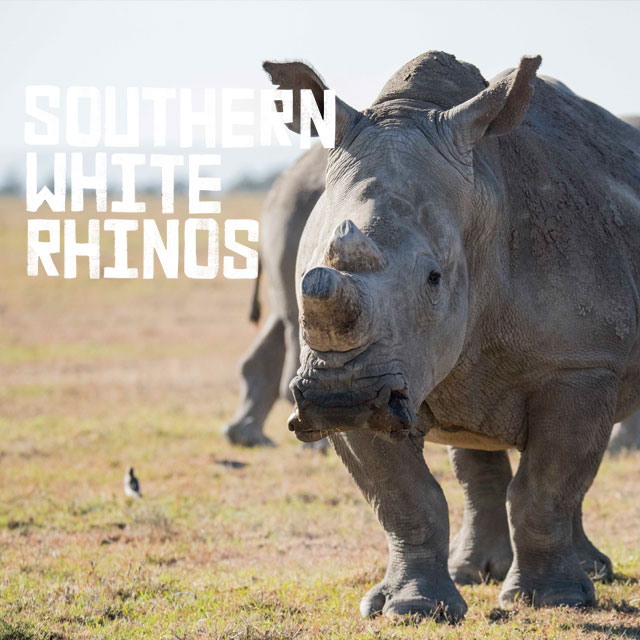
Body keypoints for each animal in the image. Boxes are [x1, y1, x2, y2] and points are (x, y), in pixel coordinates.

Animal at [251, 51, 640, 620]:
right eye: (306, 274)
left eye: (434, 278)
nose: (339, 396)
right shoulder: (364, 374)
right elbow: (405, 498)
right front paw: (411, 609)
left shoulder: (580, 363)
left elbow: (545, 487)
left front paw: (550, 601)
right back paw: (478, 573)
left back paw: (585, 579)